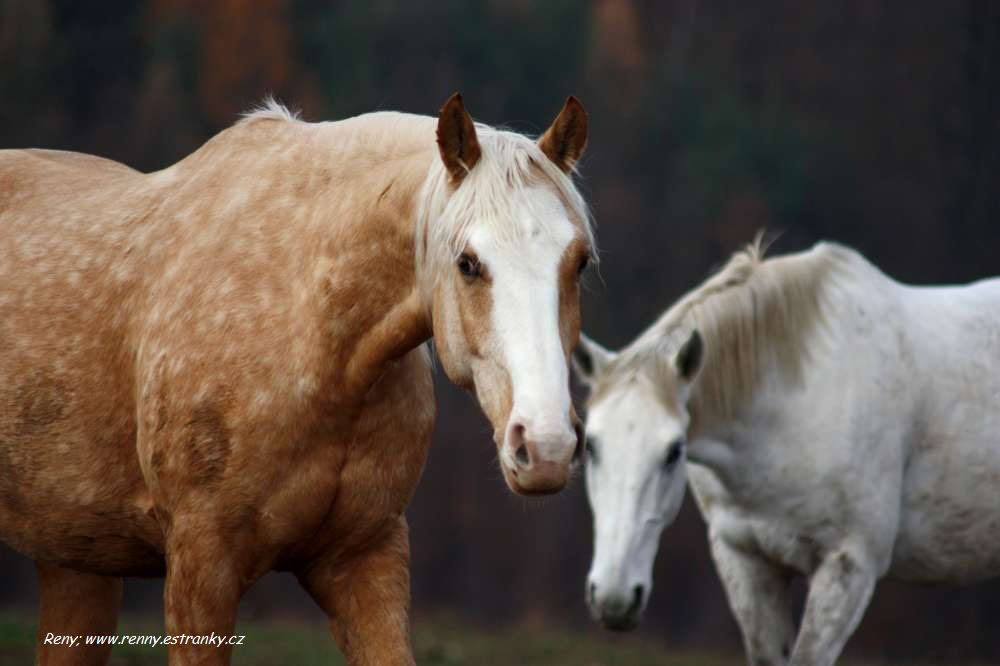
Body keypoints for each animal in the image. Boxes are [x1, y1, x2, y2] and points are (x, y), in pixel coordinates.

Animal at [0, 94, 592, 664]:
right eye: (468, 263)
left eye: (580, 262)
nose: (546, 447)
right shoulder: (200, 565)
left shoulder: (366, 557)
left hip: (77, 564)